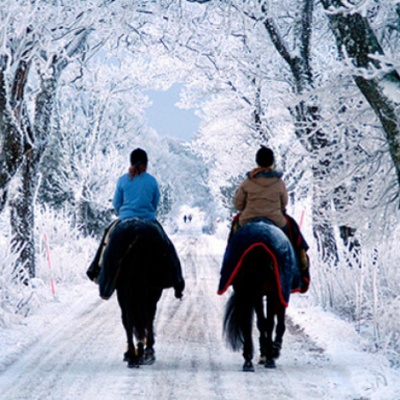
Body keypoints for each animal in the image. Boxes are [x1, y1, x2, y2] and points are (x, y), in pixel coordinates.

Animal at [97, 219, 185, 368]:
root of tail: (138, 232)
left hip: (126, 292)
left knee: (130, 319)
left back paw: (133, 354)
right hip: (147, 291)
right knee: (144, 317)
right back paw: (144, 351)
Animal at [217, 219, 302, 372]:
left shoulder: (258, 294)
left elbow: (261, 322)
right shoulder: (278, 292)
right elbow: (276, 322)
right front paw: (272, 351)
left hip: (248, 291)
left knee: (248, 321)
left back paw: (248, 360)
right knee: (268, 322)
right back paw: (268, 357)